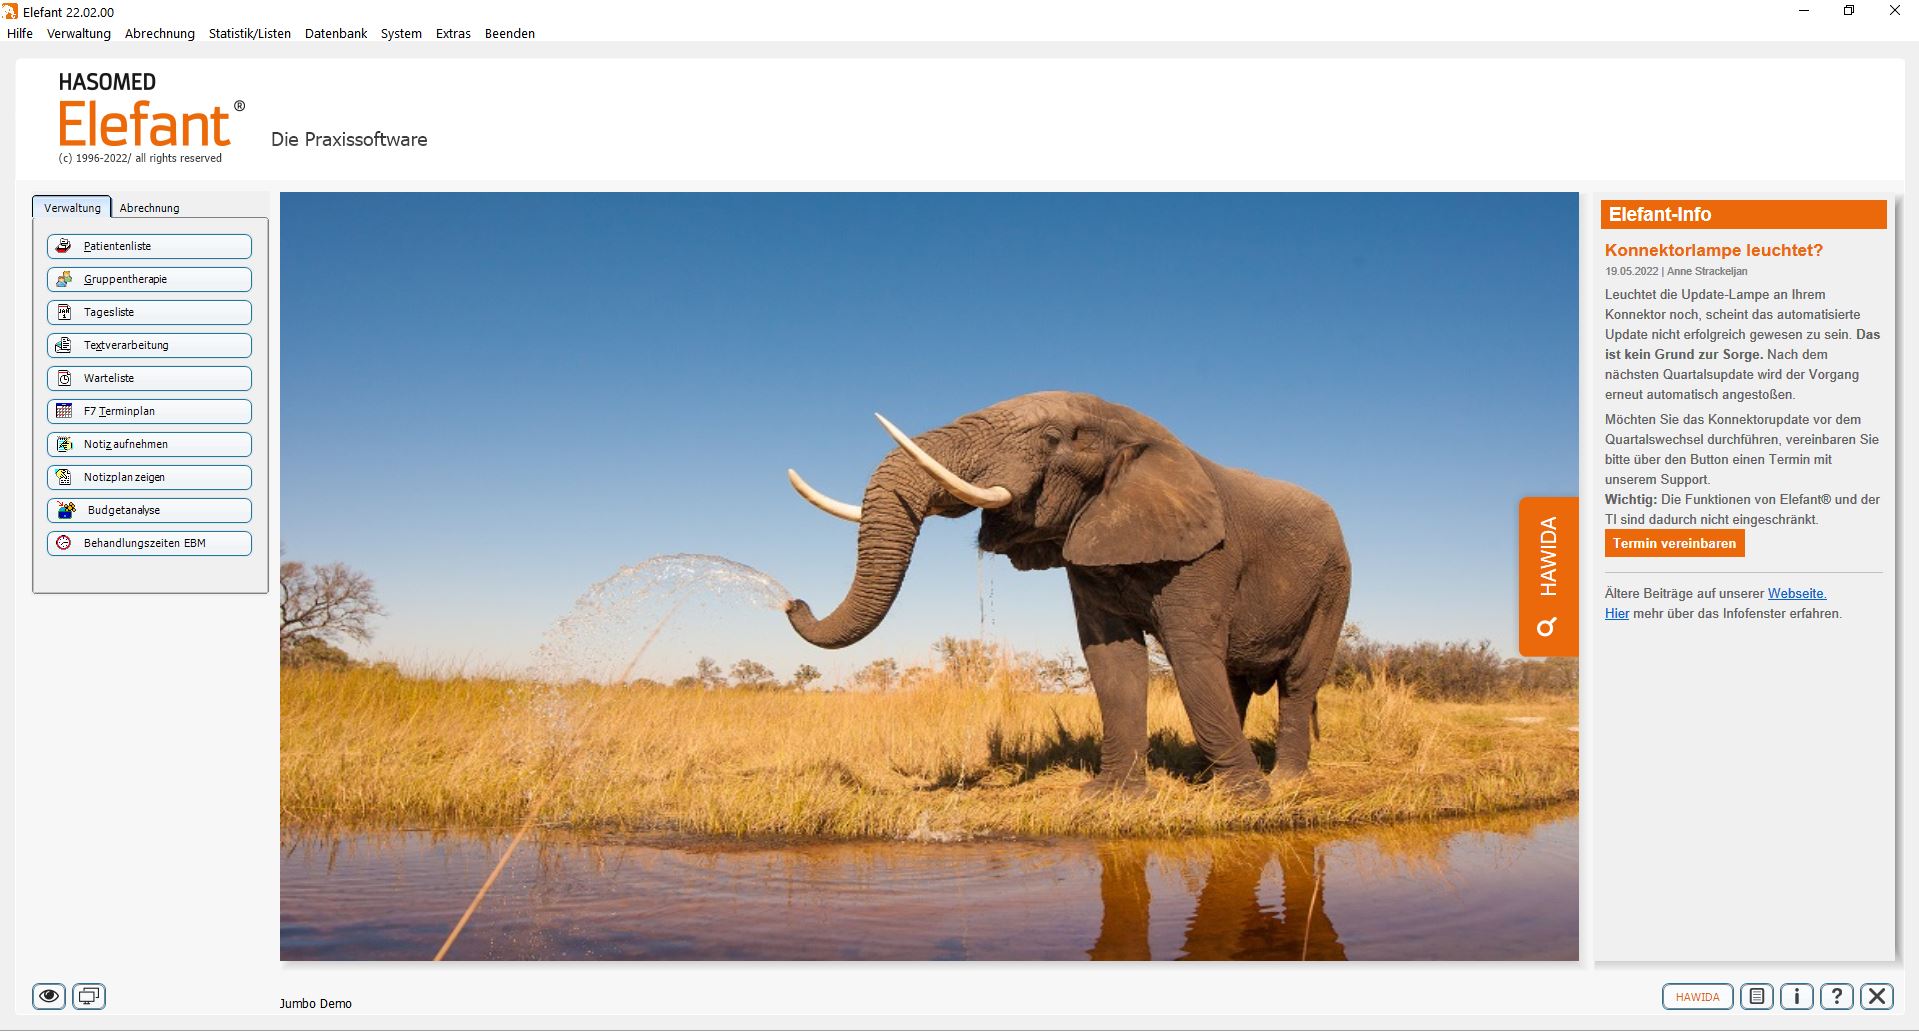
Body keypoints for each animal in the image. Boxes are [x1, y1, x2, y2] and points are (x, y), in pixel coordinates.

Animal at [783, 391, 1351, 802]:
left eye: (1053, 437)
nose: (793, 602)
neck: (1139, 433)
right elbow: (1112, 659)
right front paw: (1110, 797)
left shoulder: (1207, 554)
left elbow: (1191, 656)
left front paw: (1247, 800)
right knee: (1234, 681)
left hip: (1335, 583)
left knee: (1298, 679)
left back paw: (1282, 783)